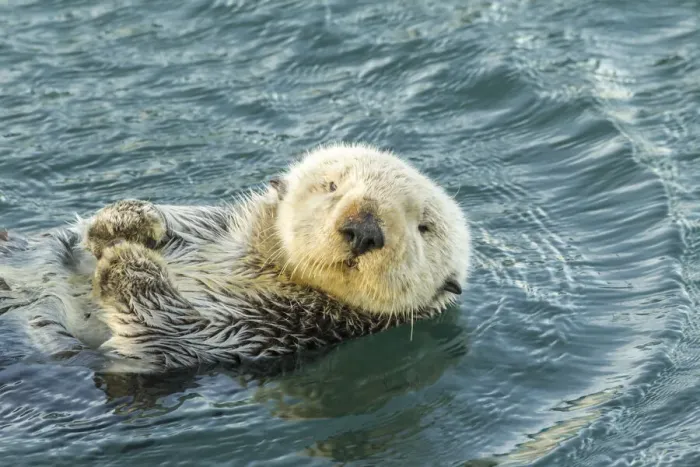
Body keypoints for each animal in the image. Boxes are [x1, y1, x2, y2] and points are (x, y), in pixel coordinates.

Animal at [0, 143, 471, 372]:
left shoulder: (263, 329)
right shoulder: (214, 230)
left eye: (424, 226)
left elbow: (166, 328)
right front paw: (129, 221)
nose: (364, 229)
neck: (266, 269)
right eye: (332, 185)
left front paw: (127, 261)